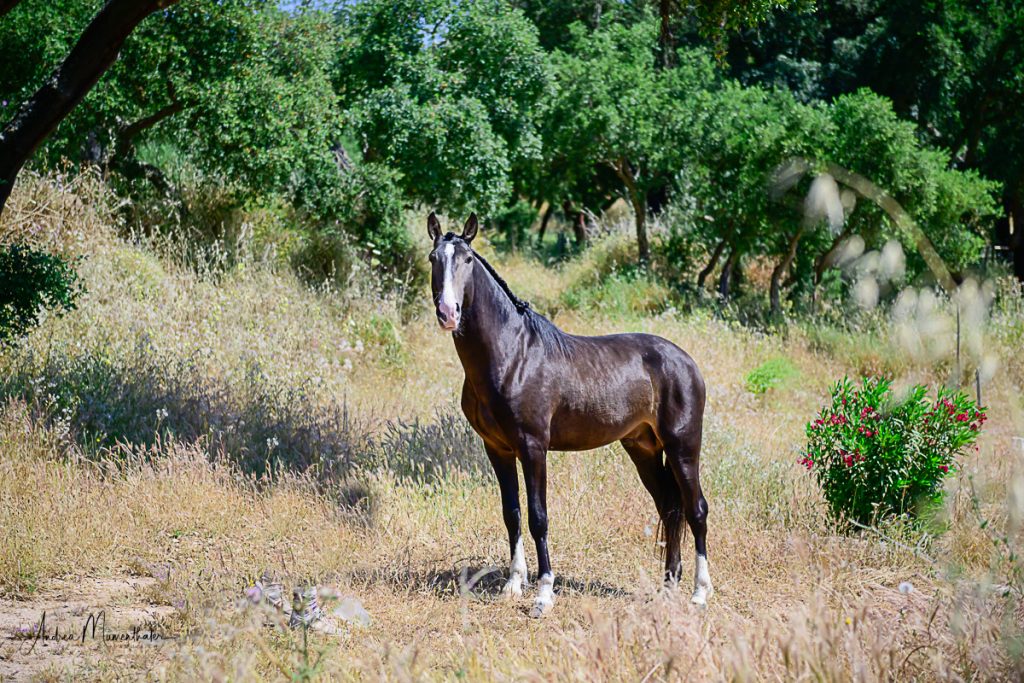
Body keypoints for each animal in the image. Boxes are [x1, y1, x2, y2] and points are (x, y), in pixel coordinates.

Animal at [428, 210, 708, 618]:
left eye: (466, 259)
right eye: (434, 258)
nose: (448, 313)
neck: (513, 355)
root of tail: (686, 361)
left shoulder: (533, 448)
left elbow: (538, 516)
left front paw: (543, 594)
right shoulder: (497, 449)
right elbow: (512, 512)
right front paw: (513, 585)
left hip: (683, 448)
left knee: (695, 509)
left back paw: (700, 593)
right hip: (643, 449)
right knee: (670, 508)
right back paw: (668, 586)